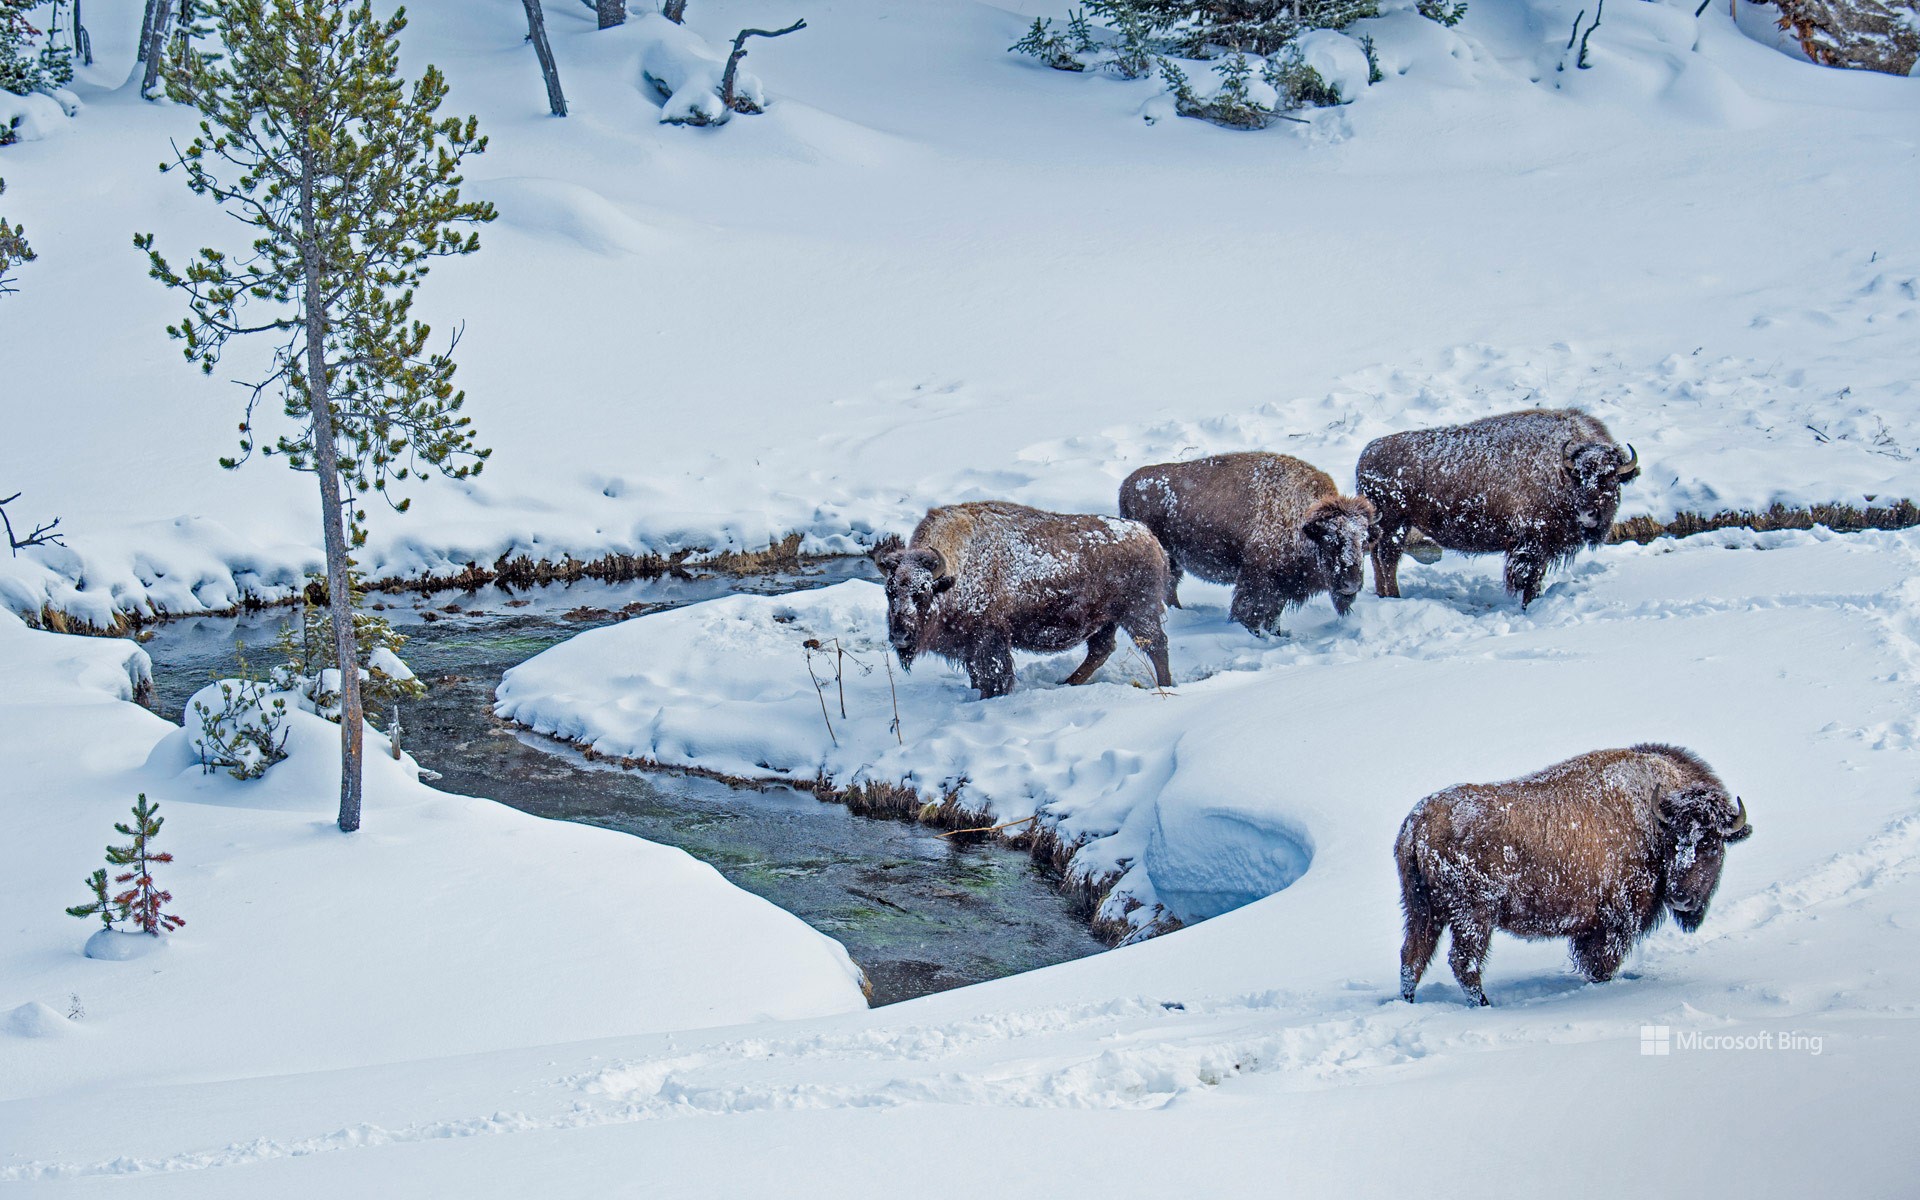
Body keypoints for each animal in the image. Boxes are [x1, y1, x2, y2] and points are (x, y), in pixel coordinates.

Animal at [871, 499, 1167, 702]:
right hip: (1107, 621)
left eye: (923, 592)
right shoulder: (970, 647)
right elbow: (977, 676)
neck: (955, 573)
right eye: (889, 591)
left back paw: (1166, 685)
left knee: (1156, 645)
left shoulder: (989, 641)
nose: (900, 636)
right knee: (1100, 650)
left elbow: (994, 677)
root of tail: (1150, 538)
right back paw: (1067, 683)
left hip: (1139, 613)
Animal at [1121, 451, 1382, 637]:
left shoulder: (1281, 586)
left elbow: (1273, 615)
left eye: (1363, 542)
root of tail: (1128, 483)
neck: (1302, 522)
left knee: (1171, 587)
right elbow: (1250, 611)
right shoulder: (1257, 580)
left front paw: (1277, 634)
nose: (1351, 584)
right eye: (1330, 540)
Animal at [1359, 407, 1643, 606]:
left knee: (1379, 559)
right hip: (1395, 524)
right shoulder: (1532, 544)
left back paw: (1385, 595)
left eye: (1611, 478)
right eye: (1580, 476)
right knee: (1387, 560)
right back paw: (1394, 596)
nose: (1588, 513)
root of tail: (1366, 454)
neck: (1560, 472)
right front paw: (1528, 604)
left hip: (1390, 527)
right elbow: (1528, 578)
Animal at [1397, 744, 1758, 1006]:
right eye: (1675, 841)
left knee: (1412, 957)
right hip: (1472, 916)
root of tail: (1418, 823)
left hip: (1421, 909)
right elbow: (1601, 964)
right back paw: (1485, 1005)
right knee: (1463, 963)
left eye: (1712, 844)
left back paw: (1409, 1002)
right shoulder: (1614, 923)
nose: (1680, 897)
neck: (1653, 821)